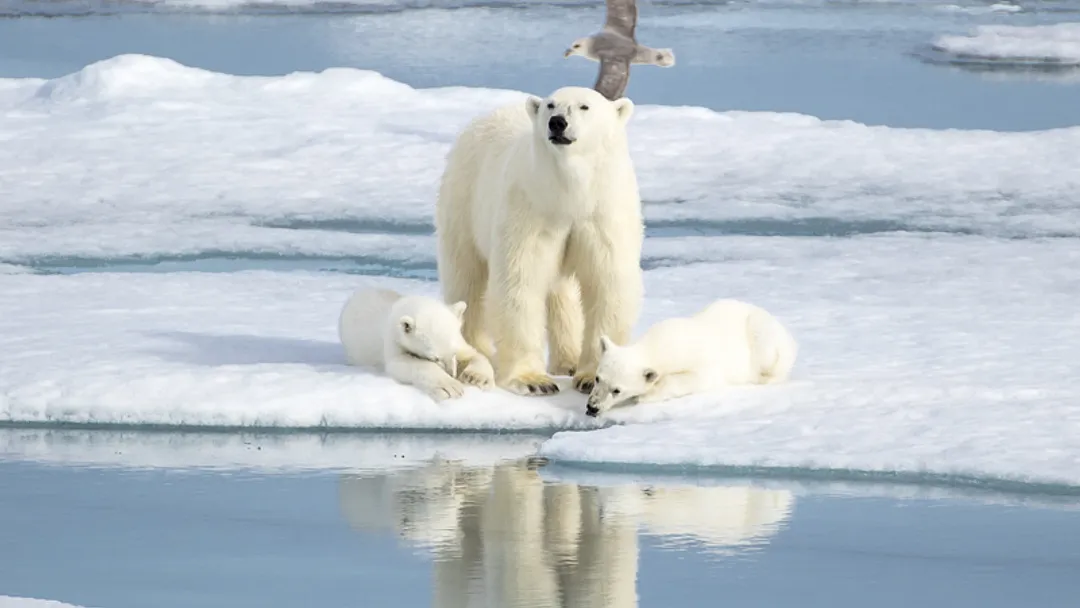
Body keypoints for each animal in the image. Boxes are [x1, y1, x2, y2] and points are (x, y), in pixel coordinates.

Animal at [338, 287, 495, 401]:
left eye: (454, 353)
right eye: (434, 358)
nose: (452, 373)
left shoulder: (458, 341)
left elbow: (473, 354)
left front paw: (477, 377)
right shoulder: (393, 341)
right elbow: (402, 363)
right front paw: (450, 386)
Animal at [435, 86, 644, 397]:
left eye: (584, 106)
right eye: (550, 105)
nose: (557, 123)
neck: (569, 195)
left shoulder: (602, 214)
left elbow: (606, 283)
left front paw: (590, 377)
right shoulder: (531, 209)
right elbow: (520, 281)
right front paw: (533, 380)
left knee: (561, 291)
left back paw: (567, 362)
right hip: (463, 202)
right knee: (467, 280)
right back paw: (477, 357)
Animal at [585, 298, 798, 416]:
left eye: (617, 390)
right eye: (597, 378)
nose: (592, 407)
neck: (662, 343)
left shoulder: (703, 363)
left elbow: (694, 379)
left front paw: (646, 395)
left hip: (762, 334)